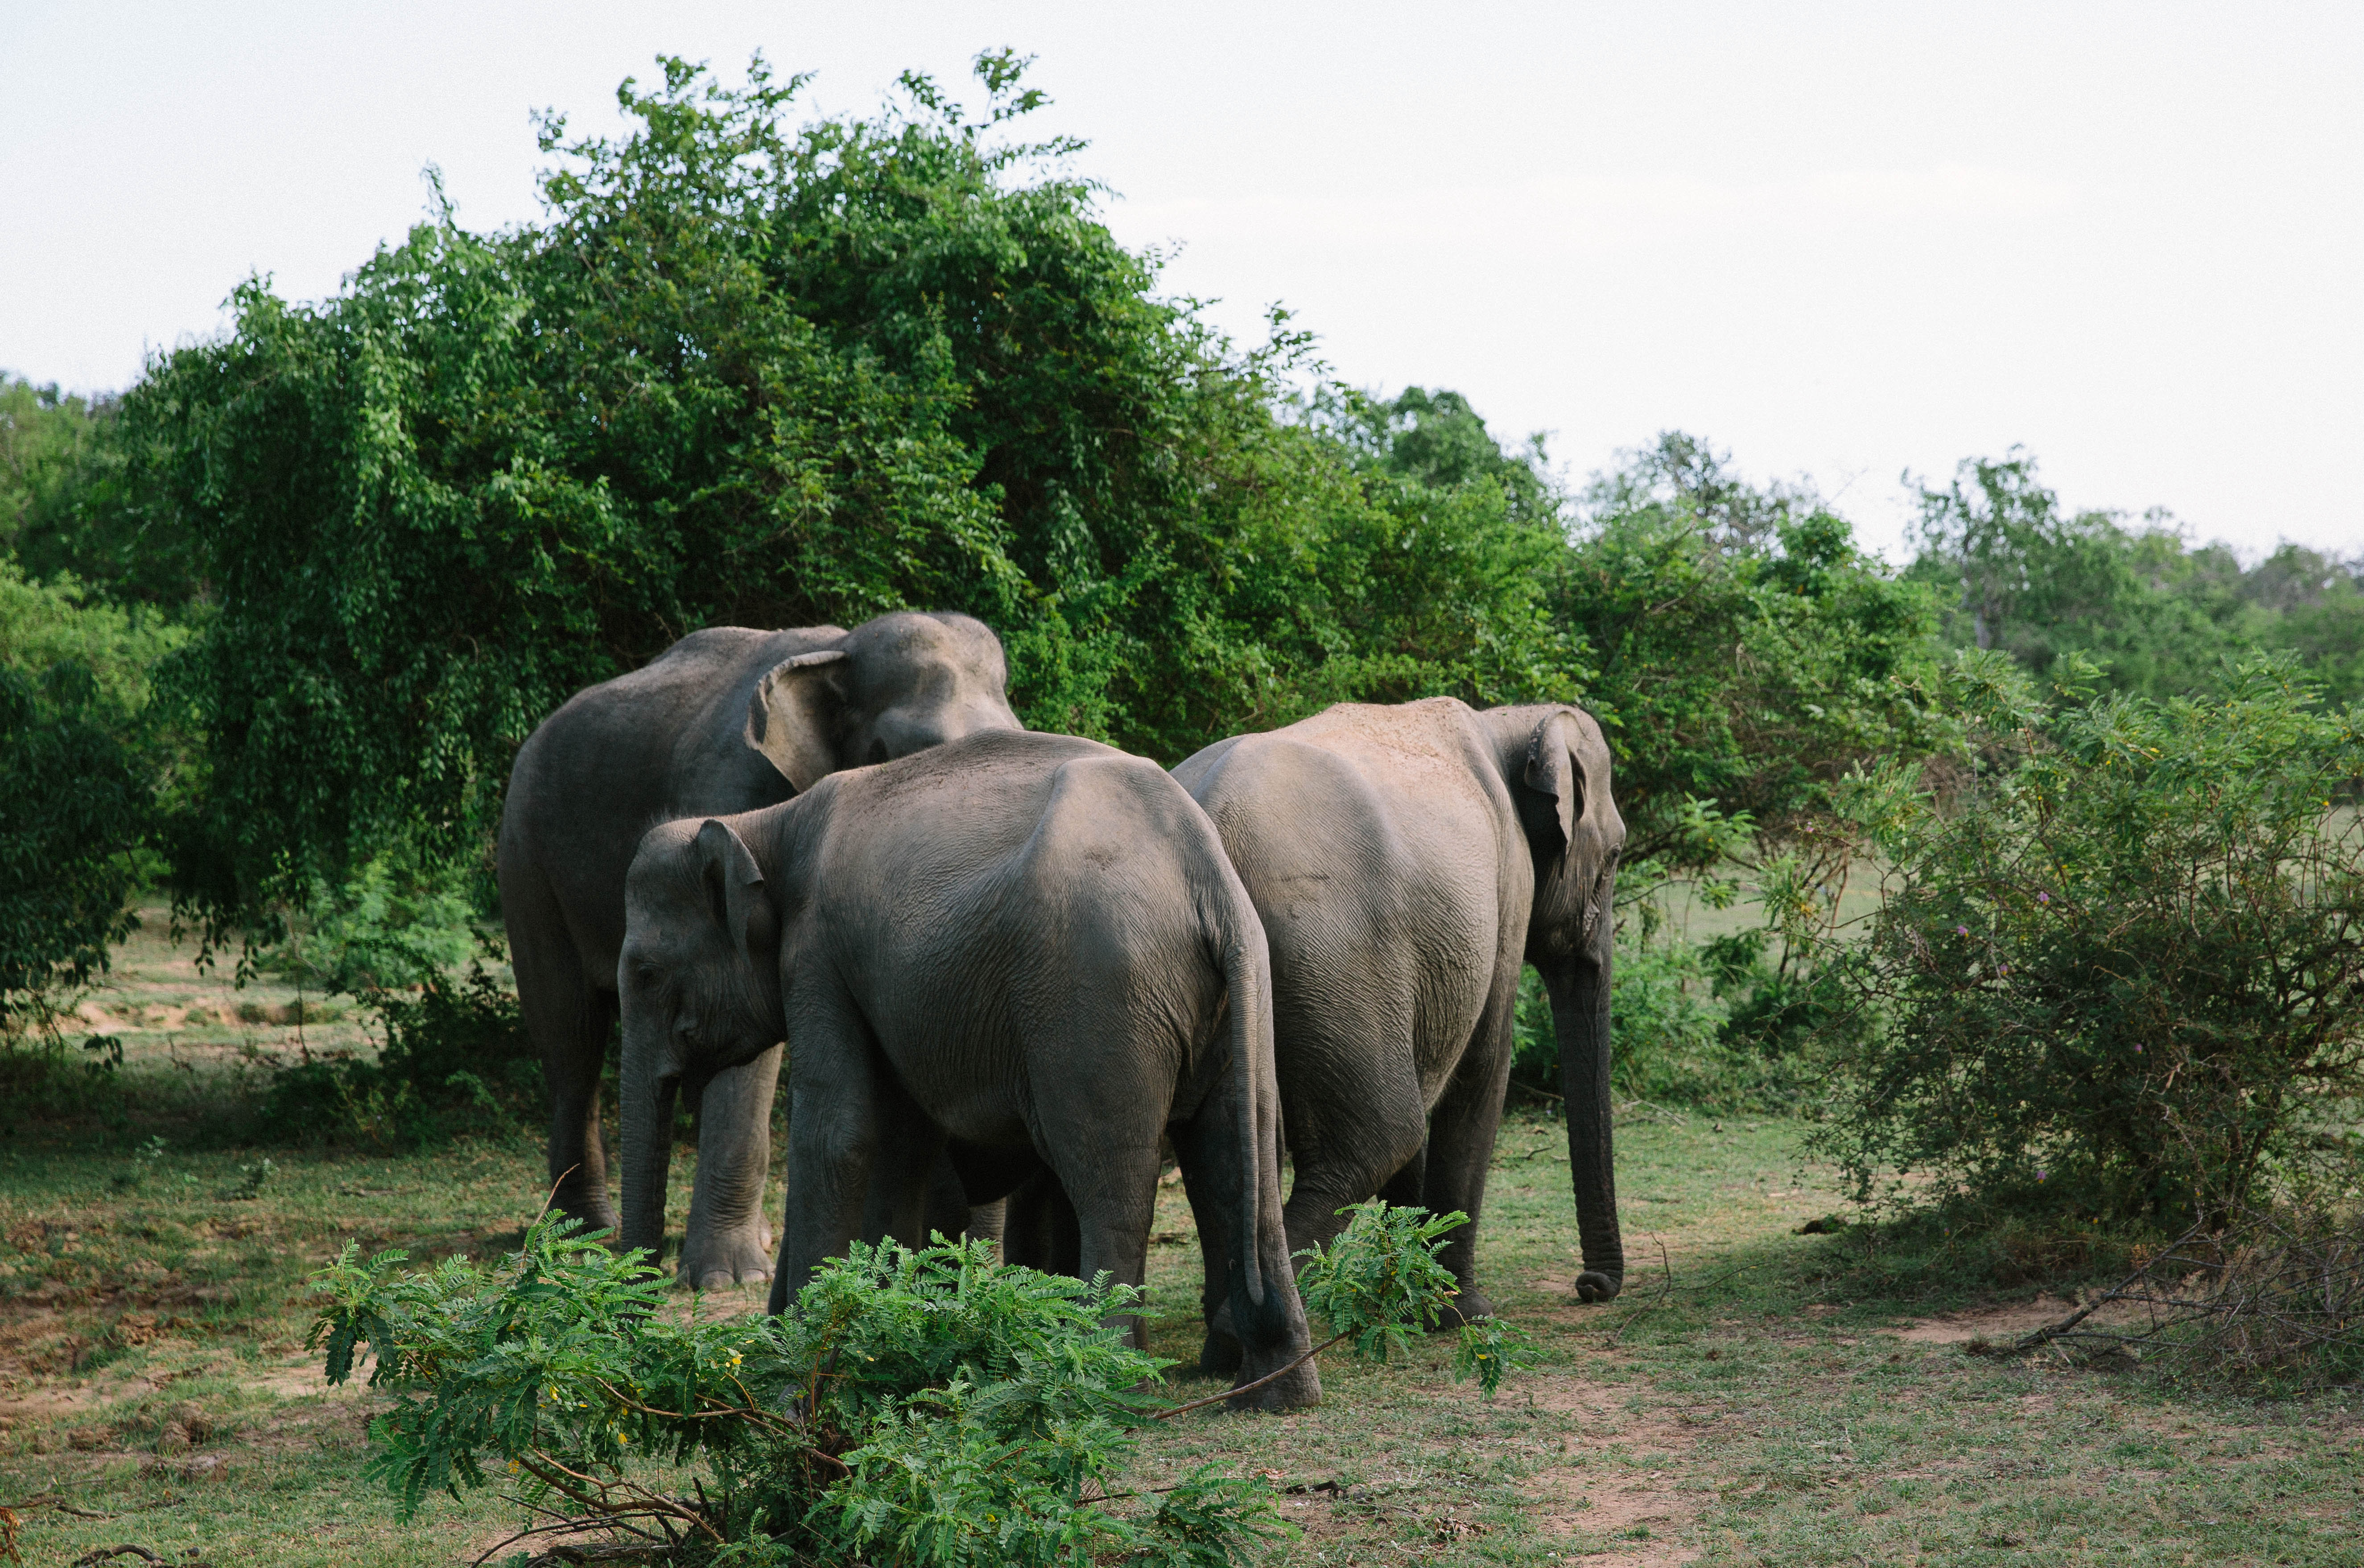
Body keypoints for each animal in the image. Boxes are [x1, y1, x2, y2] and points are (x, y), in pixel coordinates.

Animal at [499, 605, 1016, 1286]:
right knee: (570, 1038)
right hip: (526, 859)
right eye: (902, 752)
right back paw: (586, 1229)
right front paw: (731, 1278)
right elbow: (750, 1058)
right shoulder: (735, 788)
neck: (839, 649)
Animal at [619, 728, 1324, 1419]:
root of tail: (1204, 872)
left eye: (646, 973)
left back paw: (1110, 1390)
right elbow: (899, 1145)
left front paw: (796, 1394)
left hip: (1097, 1000)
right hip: (1237, 998)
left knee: (1110, 1182)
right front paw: (883, 1350)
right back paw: (1273, 1391)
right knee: (1238, 1160)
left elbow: (838, 1136)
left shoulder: (818, 954)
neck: (766, 824)